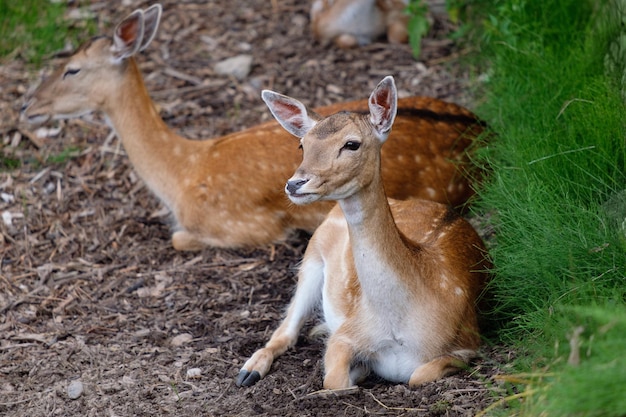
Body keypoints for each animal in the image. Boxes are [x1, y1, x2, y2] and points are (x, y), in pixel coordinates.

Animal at [20, 4, 482, 250]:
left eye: (72, 69)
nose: (26, 105)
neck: (183, 173)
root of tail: (486, 132)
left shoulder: (243, 226)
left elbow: (179, 237)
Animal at [234, 75, 488, 390]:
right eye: (302, 145)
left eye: (351, 144)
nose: (295, 184)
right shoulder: (347, 332)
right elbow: (334, 380)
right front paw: (359, 367)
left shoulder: (468, 342)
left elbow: (418, 375)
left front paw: (365, 368)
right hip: (312, 255)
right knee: (286, 330)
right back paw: (248, 371)